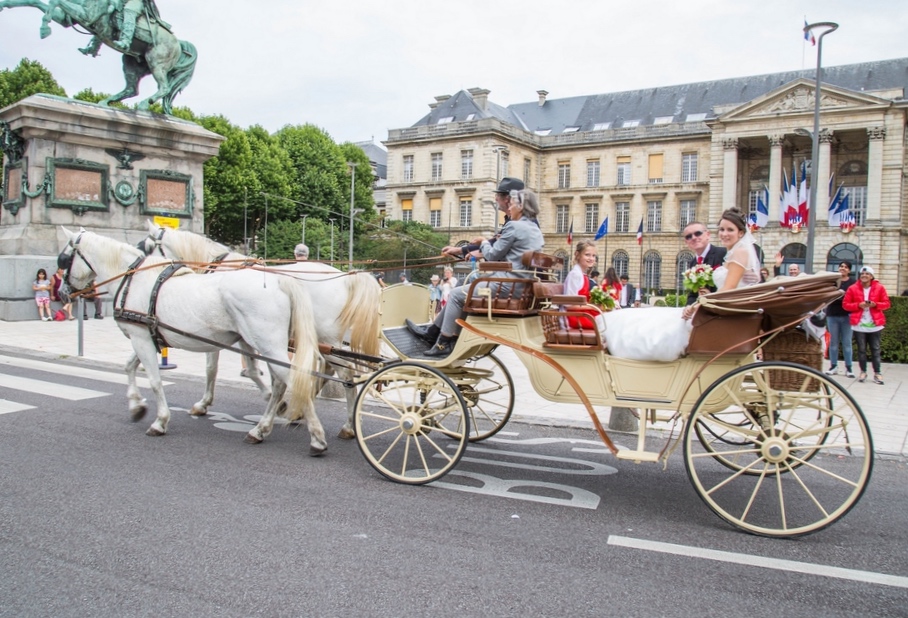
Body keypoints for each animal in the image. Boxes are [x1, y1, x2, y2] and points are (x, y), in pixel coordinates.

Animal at [55, 226, 330, 452]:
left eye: (64, 259)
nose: (62, 292)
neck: (134, 278)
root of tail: (279, 279)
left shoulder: (142, 338)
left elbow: (156, 380)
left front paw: (161, 420)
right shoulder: (144, 335)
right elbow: (130, 366)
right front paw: (136, 406)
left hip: (269, 344)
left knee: (293, 380)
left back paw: (316, 436)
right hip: (268, 344)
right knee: (281, 383)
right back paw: (262, 428)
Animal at [140, 221, 382, 438]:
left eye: (148, 247)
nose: (139, 271)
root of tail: (347, 278)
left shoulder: (216, 333)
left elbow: (214, 368)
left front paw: (203, 403)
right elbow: (252, 369)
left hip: (324, 336)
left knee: (345, 373)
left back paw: (345, 424)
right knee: (331, 370)